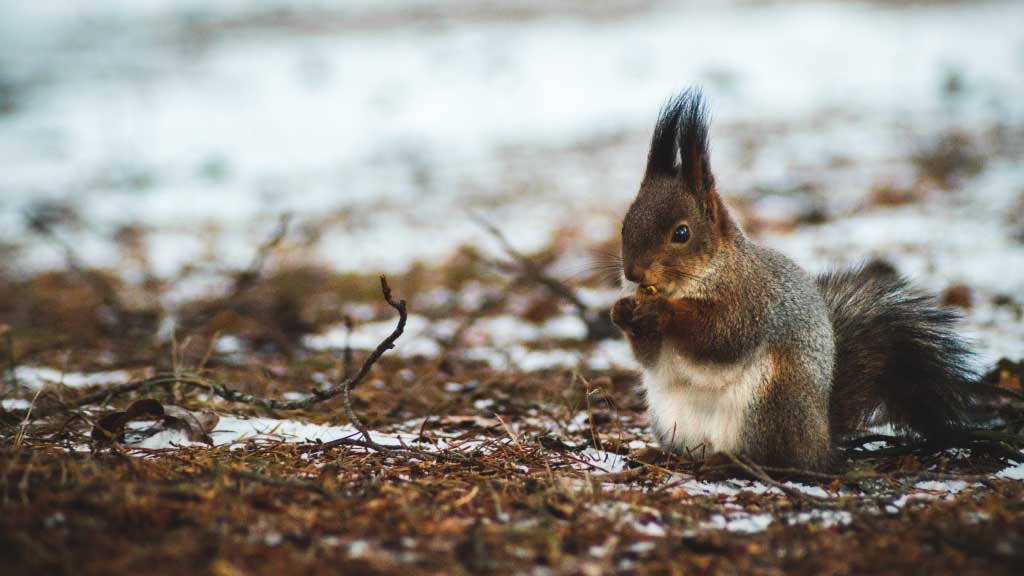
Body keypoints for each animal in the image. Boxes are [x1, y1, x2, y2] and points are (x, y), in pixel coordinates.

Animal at [606, 87, 974, 469]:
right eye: (624, 226)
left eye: (682, 233)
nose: (633, 273)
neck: (698, 279)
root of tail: (820, 440)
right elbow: (650, 358)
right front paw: (620, 311)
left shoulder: (749, 300)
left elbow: (719, 335)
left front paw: (661, 311)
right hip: (670, 417)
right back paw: (662, 454)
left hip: (771, 400)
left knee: (773, 456)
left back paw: (729, 461)